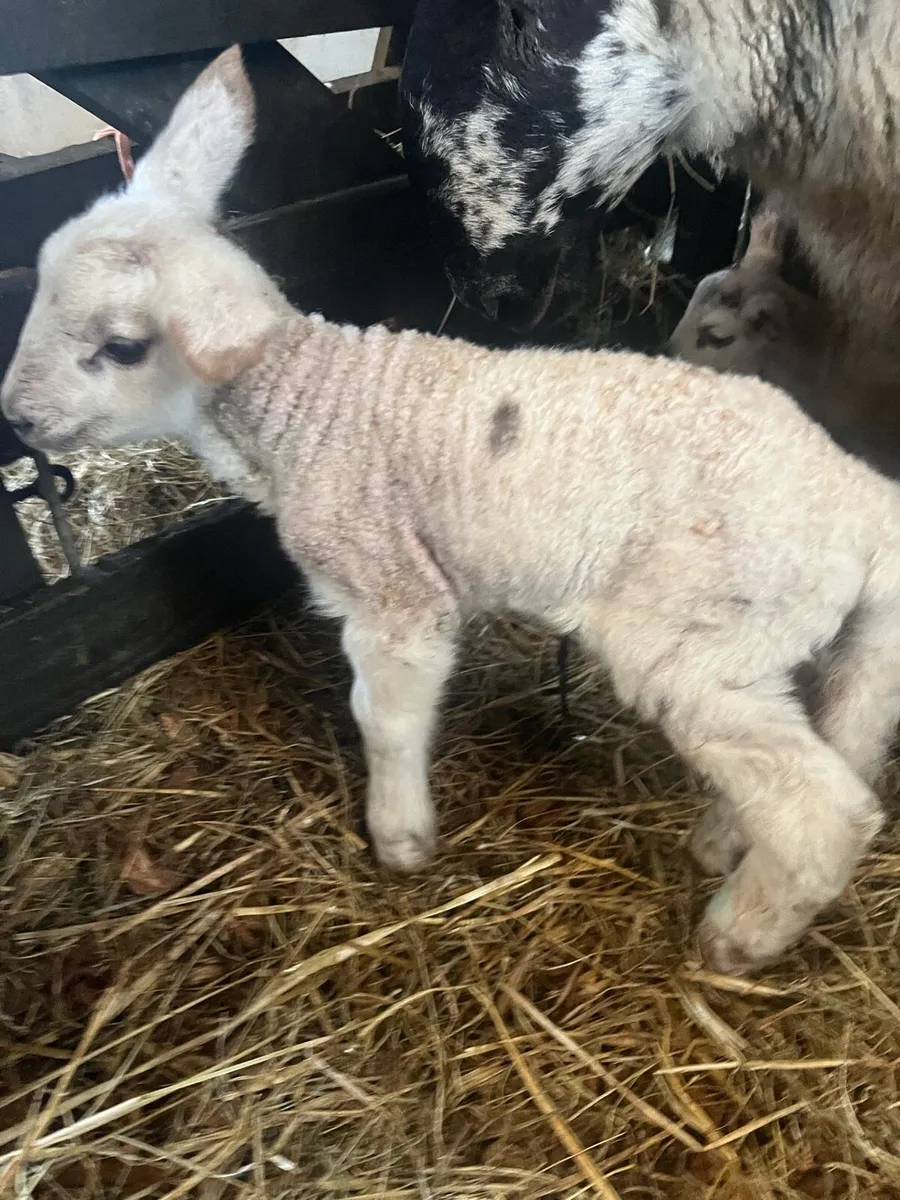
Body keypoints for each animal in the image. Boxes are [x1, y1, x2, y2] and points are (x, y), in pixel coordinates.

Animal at [4, 47, 900, 978]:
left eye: (122, 347)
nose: (17, 419)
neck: (309, 407)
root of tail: (865, 504)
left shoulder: (394, 594)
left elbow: (387, 718)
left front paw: (400, 839)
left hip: (703, 636)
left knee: (827, 807)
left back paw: (738, 936)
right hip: (810, 647)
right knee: (832, 746)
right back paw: (724, 845)